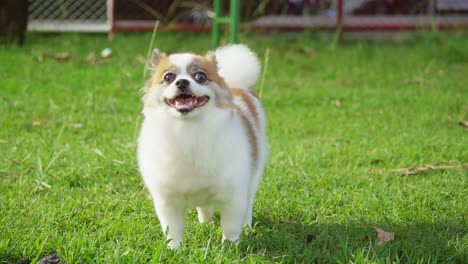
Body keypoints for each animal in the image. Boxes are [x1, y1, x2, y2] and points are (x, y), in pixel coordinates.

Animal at [136, 44, 266, 249]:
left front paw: (229, 247)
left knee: (249, 202)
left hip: (253, 175)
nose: (181, 82)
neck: (188, 130)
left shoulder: (233, 195)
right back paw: (206, 221)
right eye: (168, 77)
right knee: (204, 206)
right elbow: (173, 229)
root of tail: (237, 87)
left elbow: (231, 226)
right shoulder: (168, 200)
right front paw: (175, 249)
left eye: (200, 76)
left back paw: (246, 225)